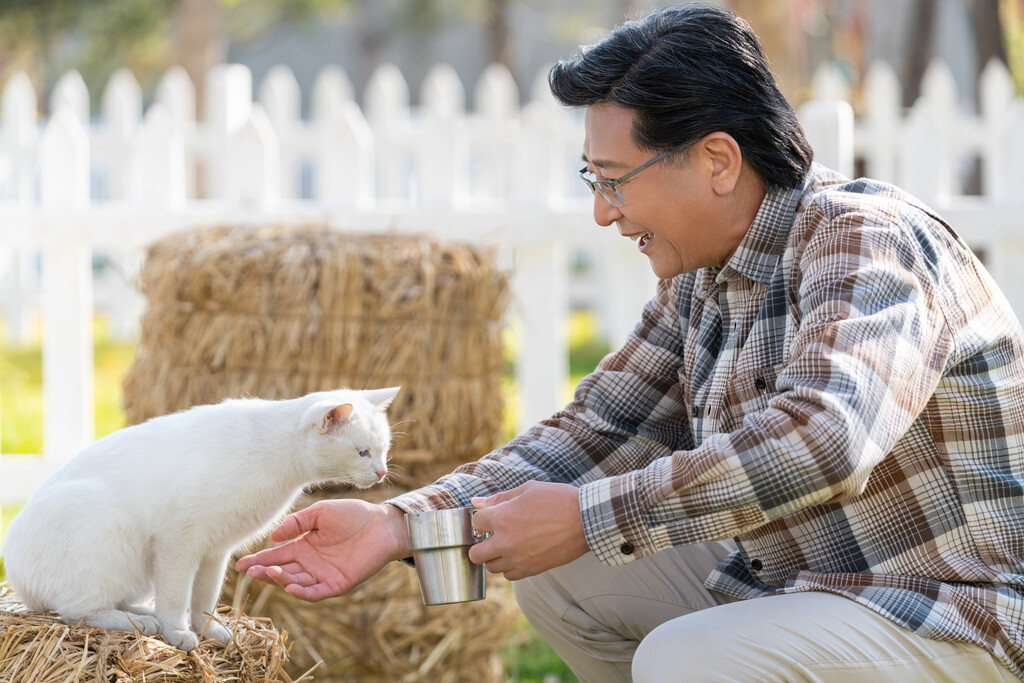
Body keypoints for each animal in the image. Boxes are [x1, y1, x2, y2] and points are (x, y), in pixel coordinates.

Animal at [1, 387, 399, 655]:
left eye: (383, 451)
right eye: (362, 452)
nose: (381, 473)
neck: (274, 454)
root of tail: (17, 581)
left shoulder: (215, 550)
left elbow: (205, 595)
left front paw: (209, 629)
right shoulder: (179, 542)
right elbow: (177, 595)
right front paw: (178, 633)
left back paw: (143, 614)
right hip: (106, 541)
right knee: (76, 611)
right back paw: (142, 623)